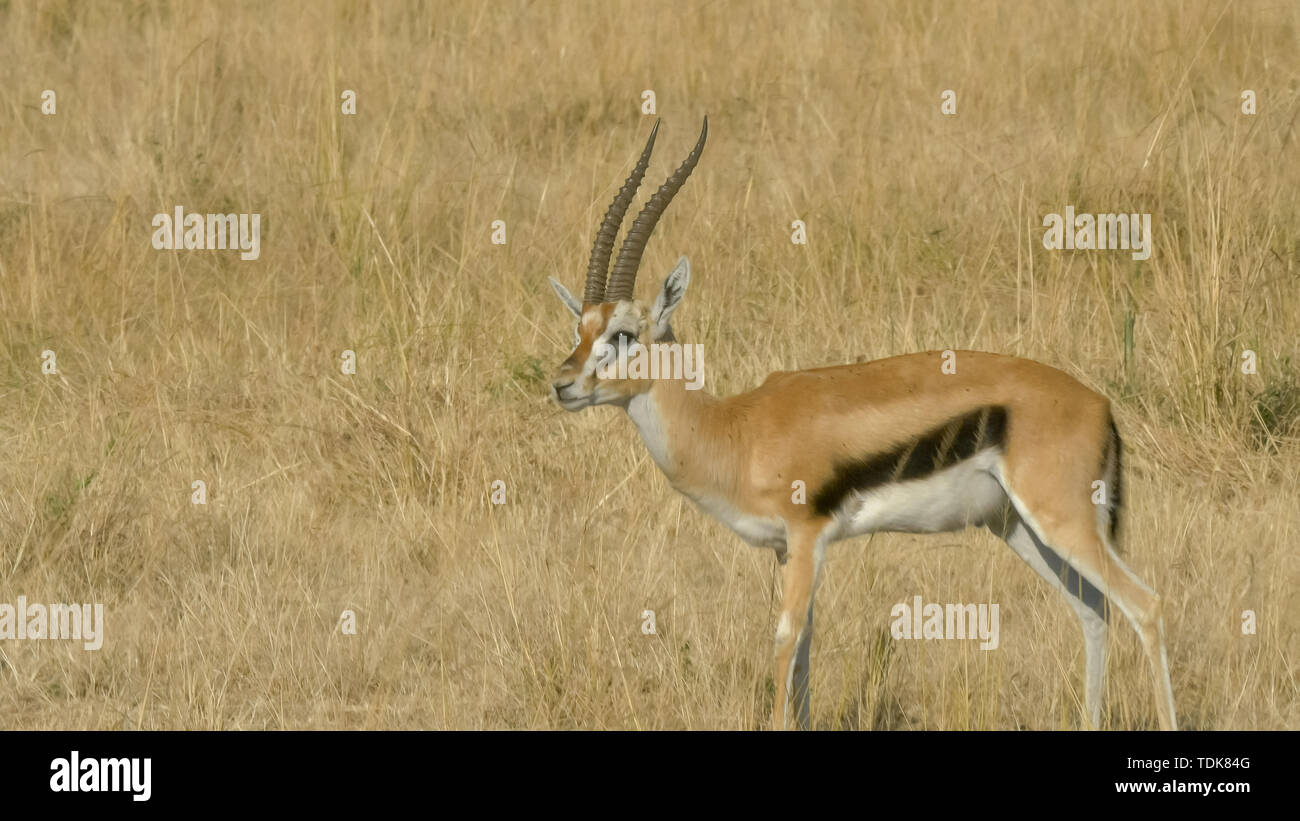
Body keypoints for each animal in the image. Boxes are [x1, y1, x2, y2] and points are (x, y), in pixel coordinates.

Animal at [548, 118, 1177, 731]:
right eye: (581, 327)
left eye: (623, 333)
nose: (561, 384)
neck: (737, 430)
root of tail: (1099, 405)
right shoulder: (789, 551)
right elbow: (804, 650)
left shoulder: (807, 538)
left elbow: (785, 640)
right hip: (1020, 528)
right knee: (1093, 612)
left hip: (1060, 521)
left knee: (1145, 605)